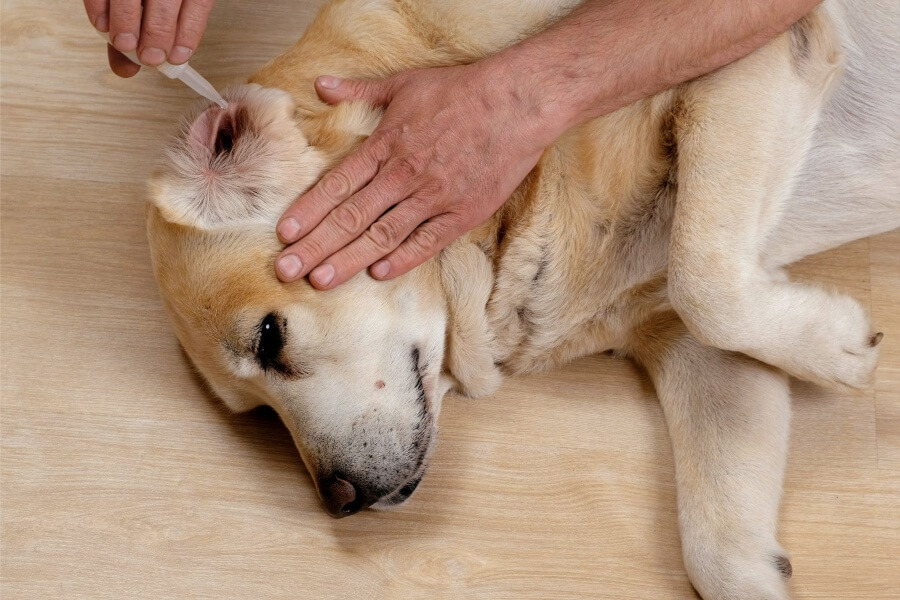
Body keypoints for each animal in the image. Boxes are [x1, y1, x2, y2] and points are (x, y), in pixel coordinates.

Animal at [144, 2, 896, 596]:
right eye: (254, 413)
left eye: (270, 338)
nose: (340, 502)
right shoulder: (695, 348)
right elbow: (722, 557)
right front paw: (822, 339)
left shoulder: (757, 55)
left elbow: (703, 279)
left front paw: (842, 348)